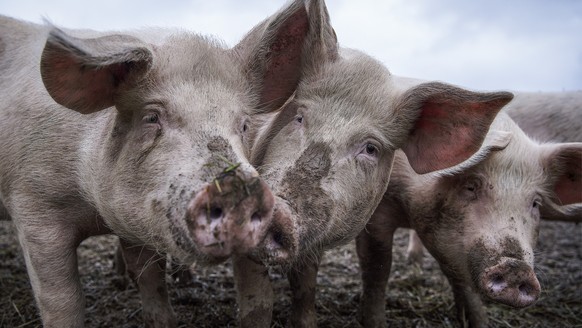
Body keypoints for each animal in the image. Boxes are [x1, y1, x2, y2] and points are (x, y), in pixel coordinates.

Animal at [0, 1, 322, 326]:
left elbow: (152, 282)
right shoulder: (33, 205)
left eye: (244, 124)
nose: (237, 190)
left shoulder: (136, 219)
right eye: (151, 117)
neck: (94, 211)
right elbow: (63, 300)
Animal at [356, 111, 582, 328]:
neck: (408, 207)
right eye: (471, 186)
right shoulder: (376, 214)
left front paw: (479, 322)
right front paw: (376, 323)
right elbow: (378, 268)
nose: (516, 268)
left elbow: (460, 278)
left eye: (535, 203)